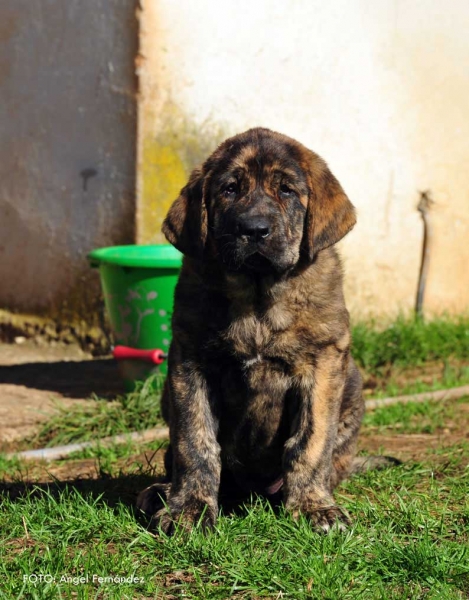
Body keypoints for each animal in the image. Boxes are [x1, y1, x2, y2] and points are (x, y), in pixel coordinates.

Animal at [137, 129, 390, 532]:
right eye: (229, 189)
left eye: (286, 190)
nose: (254, 230)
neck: (258, 297)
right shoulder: (191, 363)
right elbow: (195, 441)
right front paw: (189, 508)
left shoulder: (322, 364)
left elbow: (310, 441)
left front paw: (313, 506)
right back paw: (160, 491)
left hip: (352, 389)